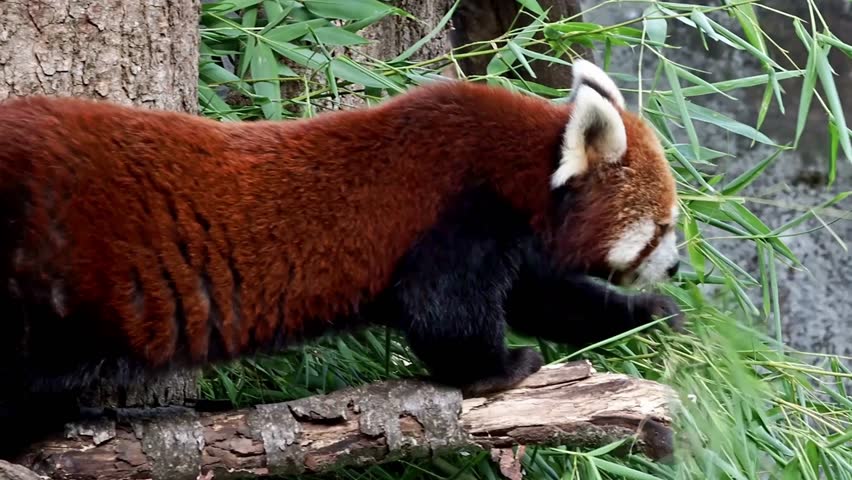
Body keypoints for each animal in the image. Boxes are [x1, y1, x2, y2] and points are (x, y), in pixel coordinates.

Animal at [0, 60, 683, 409]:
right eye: (663, 229)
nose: (677, 268)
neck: (513, 168)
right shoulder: (459, 214)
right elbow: (441, 312)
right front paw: (501, 368)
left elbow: (544, 296)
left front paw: (651, 315)